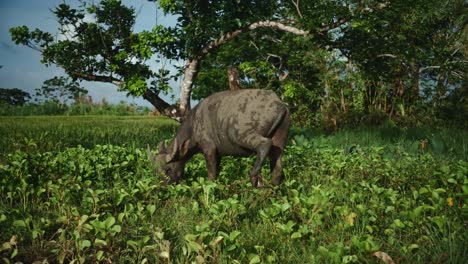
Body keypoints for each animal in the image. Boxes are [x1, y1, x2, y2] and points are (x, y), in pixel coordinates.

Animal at [149, 88, 288, 186]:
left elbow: (211, 175)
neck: (193, 125)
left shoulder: (209, 149)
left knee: (264, 144)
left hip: (239, 134)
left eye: (168, 169)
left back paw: (254, 176)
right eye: (156, 171)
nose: (165, 185)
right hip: (279, 139)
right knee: (277, 167)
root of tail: (279, 104)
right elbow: (217, 171)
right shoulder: (218, 153)